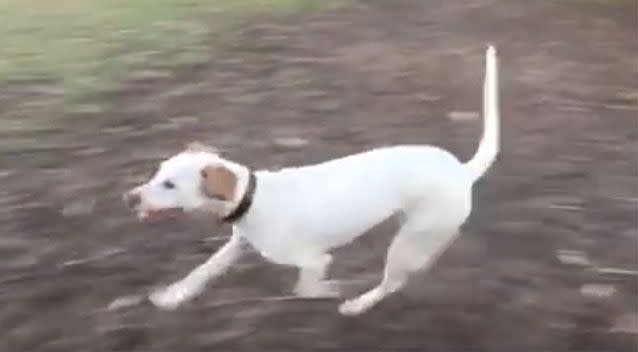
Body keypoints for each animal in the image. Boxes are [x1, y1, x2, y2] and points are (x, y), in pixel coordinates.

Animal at [124, 44, 500, 316]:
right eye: (157, 172)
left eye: (170, 185)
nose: (129, 197)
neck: (252, 199)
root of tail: (462, 169)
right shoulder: (237, 245)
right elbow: (201, 271)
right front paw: (173, 296)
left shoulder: (315, 260)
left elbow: (304, 288)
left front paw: (329, 290)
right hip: (415, 229)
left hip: (405, 241)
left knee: (392, 282)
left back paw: (358, 304)